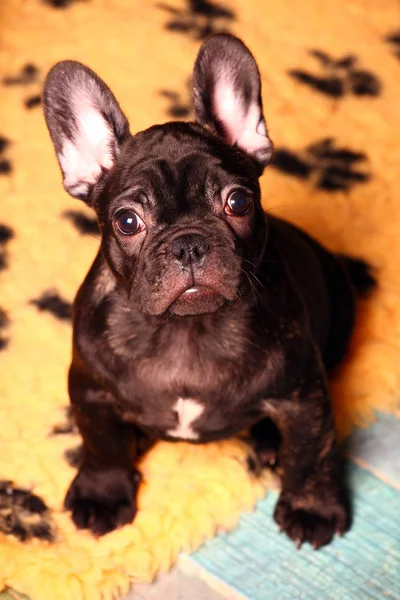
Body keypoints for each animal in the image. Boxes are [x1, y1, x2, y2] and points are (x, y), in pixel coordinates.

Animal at [43, 32, 366, 548]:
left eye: (238, 202)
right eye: (127, 221)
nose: (189, 243)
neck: (184, 331)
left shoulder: (305, 396)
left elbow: (312, 451)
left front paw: (310, 505)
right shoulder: (89, 389)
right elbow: (102, 444)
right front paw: (103, 493)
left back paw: (268, 443)